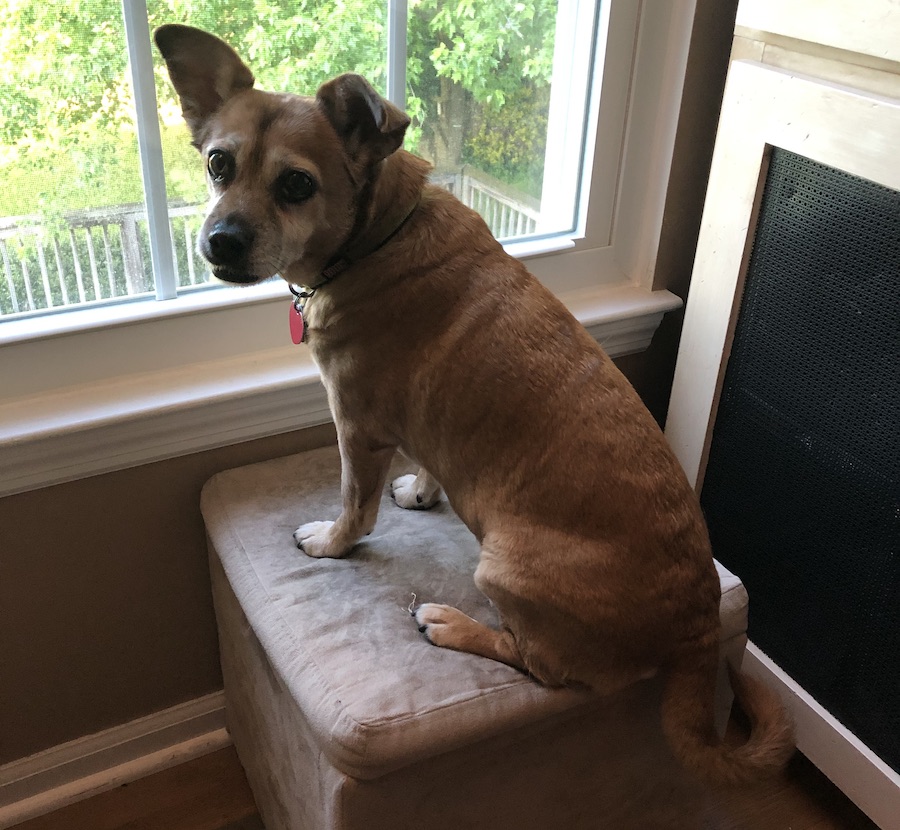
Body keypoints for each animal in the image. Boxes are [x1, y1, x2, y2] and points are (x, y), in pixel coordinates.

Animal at [156, 21, 796, 788]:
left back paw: (452, 624)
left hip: (499, 567)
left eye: (296, 185)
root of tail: (700, 623)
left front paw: (333, 542)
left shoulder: (357, 429)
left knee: (540, 666)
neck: (377, 234)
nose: (219, 241)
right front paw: (422, 492)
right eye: (218, 165)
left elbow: (353, 508)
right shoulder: (431, 426)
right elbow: (432, 464)